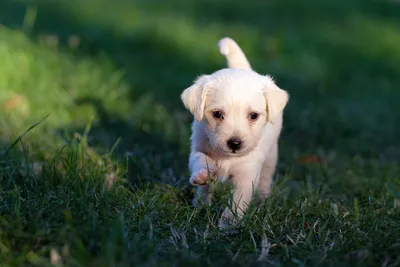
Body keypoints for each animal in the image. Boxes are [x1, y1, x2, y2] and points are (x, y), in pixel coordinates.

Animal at [180, 36, 288, 228]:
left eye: (254, 116)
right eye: (217, 114)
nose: (235, 143)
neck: (227, 158)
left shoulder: (247, 175)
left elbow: (237, 202)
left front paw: (228, 225)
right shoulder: (198, 148)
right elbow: (200, 160)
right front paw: (203, 174)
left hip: (271, 157)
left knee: (265, 180)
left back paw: (262, 201)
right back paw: (200, 204)